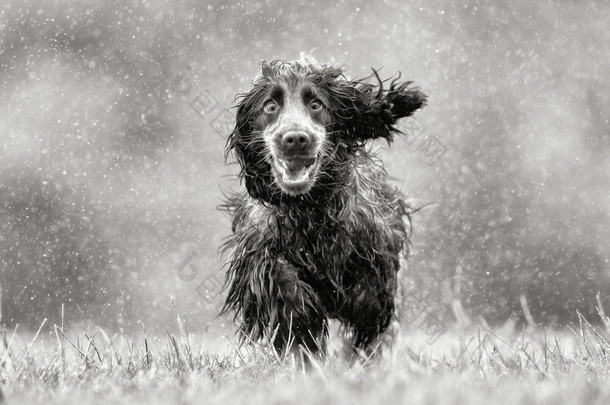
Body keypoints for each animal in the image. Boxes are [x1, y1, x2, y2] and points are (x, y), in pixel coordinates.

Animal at [218, 56, 422, 354]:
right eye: (270, 106)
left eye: (316, 104)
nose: (295, 139)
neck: (308, 206)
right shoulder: (256, 246)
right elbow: (276, 276)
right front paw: (302, 317)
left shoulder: (377, 235)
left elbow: (371, 294)